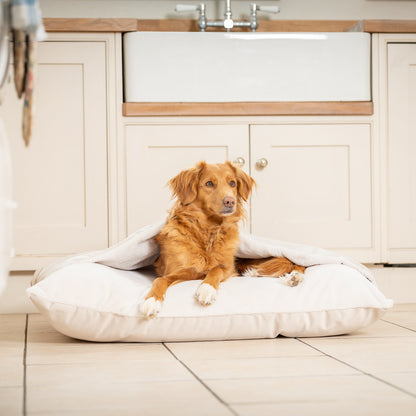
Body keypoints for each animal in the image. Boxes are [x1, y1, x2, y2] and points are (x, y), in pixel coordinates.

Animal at [141, 160, 306, 318]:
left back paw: (294, 277)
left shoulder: (228, 268)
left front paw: (206, 289)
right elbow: (160, 280)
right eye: (209, 183)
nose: (230, 201)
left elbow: (216, 269)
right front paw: (151, 301)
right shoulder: (181, 271)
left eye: (232, 183)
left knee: (294, 263)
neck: (209, 231)